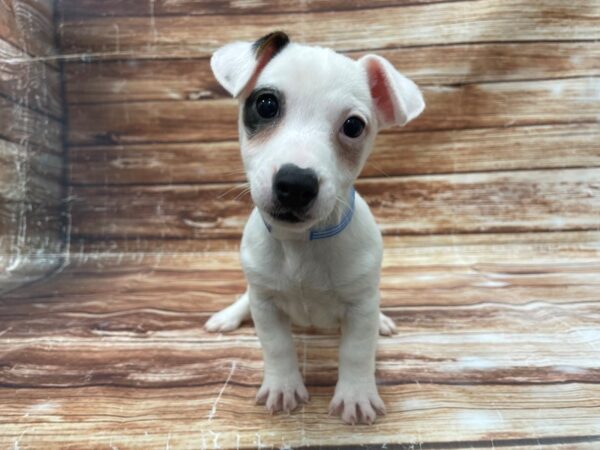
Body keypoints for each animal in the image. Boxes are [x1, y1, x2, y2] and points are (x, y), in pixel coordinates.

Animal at [204, 32, 424, 426]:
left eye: (353, 126)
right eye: (266, 105)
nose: (295, 183)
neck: (300, 244)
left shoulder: (360, 306)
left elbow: (356, 351)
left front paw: (355, 395)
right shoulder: (266, 305)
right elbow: (276, 347)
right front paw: (283, 386)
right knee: (246, 298)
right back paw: (228, 315)